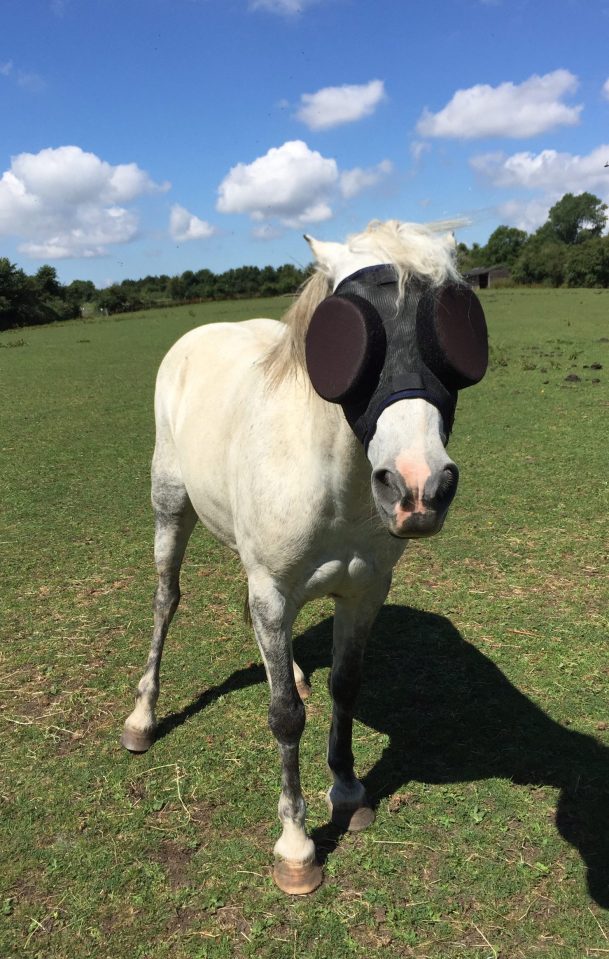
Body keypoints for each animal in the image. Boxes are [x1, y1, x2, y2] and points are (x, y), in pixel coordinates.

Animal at [121, 221, 486, 896]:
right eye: (350, 340)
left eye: (454, 331)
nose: (419, 486)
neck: (329, 480)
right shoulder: (273, 588)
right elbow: (285, 717)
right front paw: (296, 846)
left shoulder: (365, 590)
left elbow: (346, 685)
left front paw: (346, 789)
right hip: (170, 506)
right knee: (166, 600)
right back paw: (142, 716)